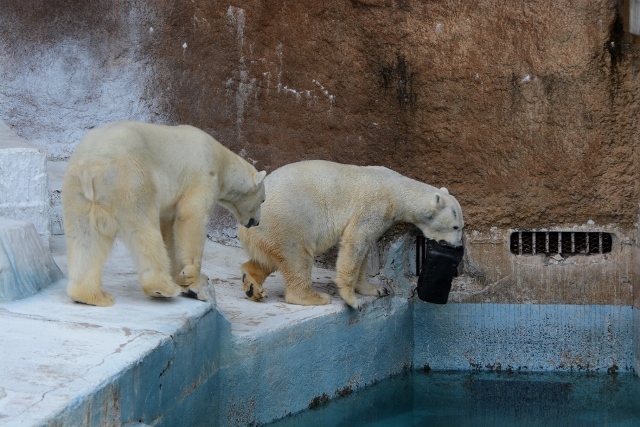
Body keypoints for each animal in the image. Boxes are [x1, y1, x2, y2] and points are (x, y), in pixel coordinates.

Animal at [61, 121, 266, 308]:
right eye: (263, 200)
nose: (256, 222)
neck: (221, 159)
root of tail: (92, 166)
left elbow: (169, 230)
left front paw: (185, 276)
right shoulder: (203, 175)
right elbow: (191, 217)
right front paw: (194, 286)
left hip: (78, 191)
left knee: (85, 237)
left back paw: (91, 296)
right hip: (131, 178)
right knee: (143, 230)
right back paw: (162, 288)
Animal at [238, 160, 462, 310]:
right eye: (456, 227)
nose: (456, 246)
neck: (397, 190)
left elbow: (365, 251)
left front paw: (374, 289)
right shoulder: (374, 207)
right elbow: (355, 243)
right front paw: (352, 300)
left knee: (270, 259)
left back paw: (252, 286)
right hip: (288, 221)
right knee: (296, 257)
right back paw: (314, 297)